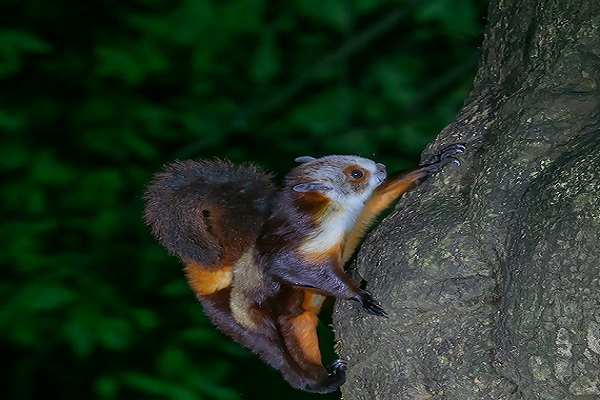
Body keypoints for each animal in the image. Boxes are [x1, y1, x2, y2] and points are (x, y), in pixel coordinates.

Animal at [142, 144, 464, 394]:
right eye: (356, 173)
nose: (382, 166)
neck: (335, 212)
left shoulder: (358, 212)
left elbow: (380, 195)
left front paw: (434, 164)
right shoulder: (299, 243)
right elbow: (288, 267)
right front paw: (359, 296)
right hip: (249, 322)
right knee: (282, 358)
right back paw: (320, 381)